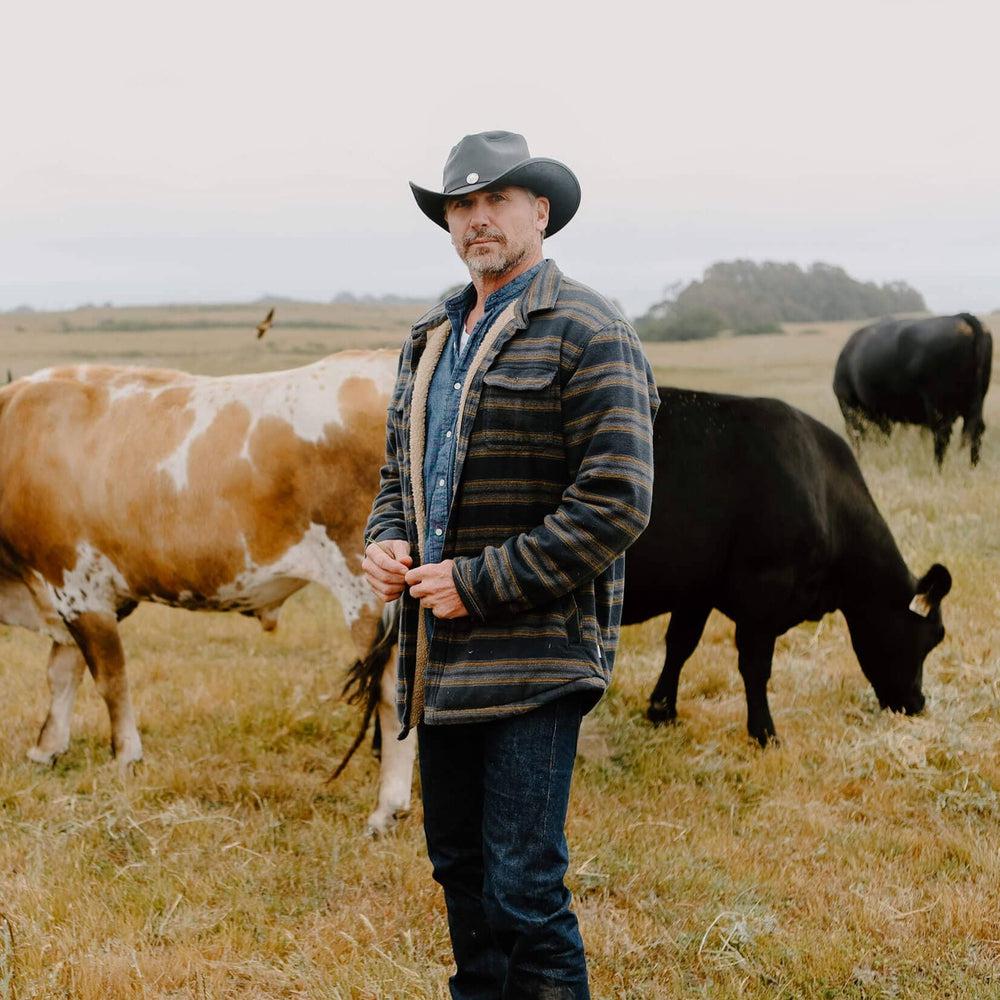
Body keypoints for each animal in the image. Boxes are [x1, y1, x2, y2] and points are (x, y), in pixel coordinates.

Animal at [0, 352, 414, 836]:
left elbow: (110, 681)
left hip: (368, 589)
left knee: (391, 693)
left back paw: (387, 807)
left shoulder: (78, 589)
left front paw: (125, 756)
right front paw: (47, 747)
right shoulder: (69, 598)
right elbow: (62, 674)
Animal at [624, 386, 952, 748]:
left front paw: (662, 711)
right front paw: (765, 733)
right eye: (934, 637)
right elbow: (755, 665)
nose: (918, 703)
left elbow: (680, 645)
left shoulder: (698, 590)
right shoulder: (765, 589)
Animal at [832, 314, 988, 466]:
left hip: (939, 408)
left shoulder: (850, 408)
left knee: (942, 435)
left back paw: (936, 468)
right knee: (975, 433)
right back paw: (972, 467)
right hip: (974, 404)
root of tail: (960, 317)